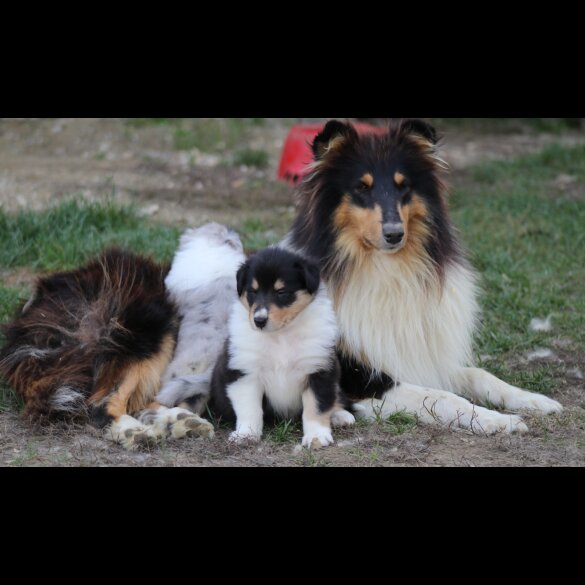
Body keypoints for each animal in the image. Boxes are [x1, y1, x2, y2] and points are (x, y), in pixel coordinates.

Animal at [210, 246, 356, 448]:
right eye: (253, 291)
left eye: (281, 292)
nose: (259, 320)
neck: (281, 335)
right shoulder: (244, 371)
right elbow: (249, 407)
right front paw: (246, 434)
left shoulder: (318, 368)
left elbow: (316, 406)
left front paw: (316, 436)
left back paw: (341, 416)